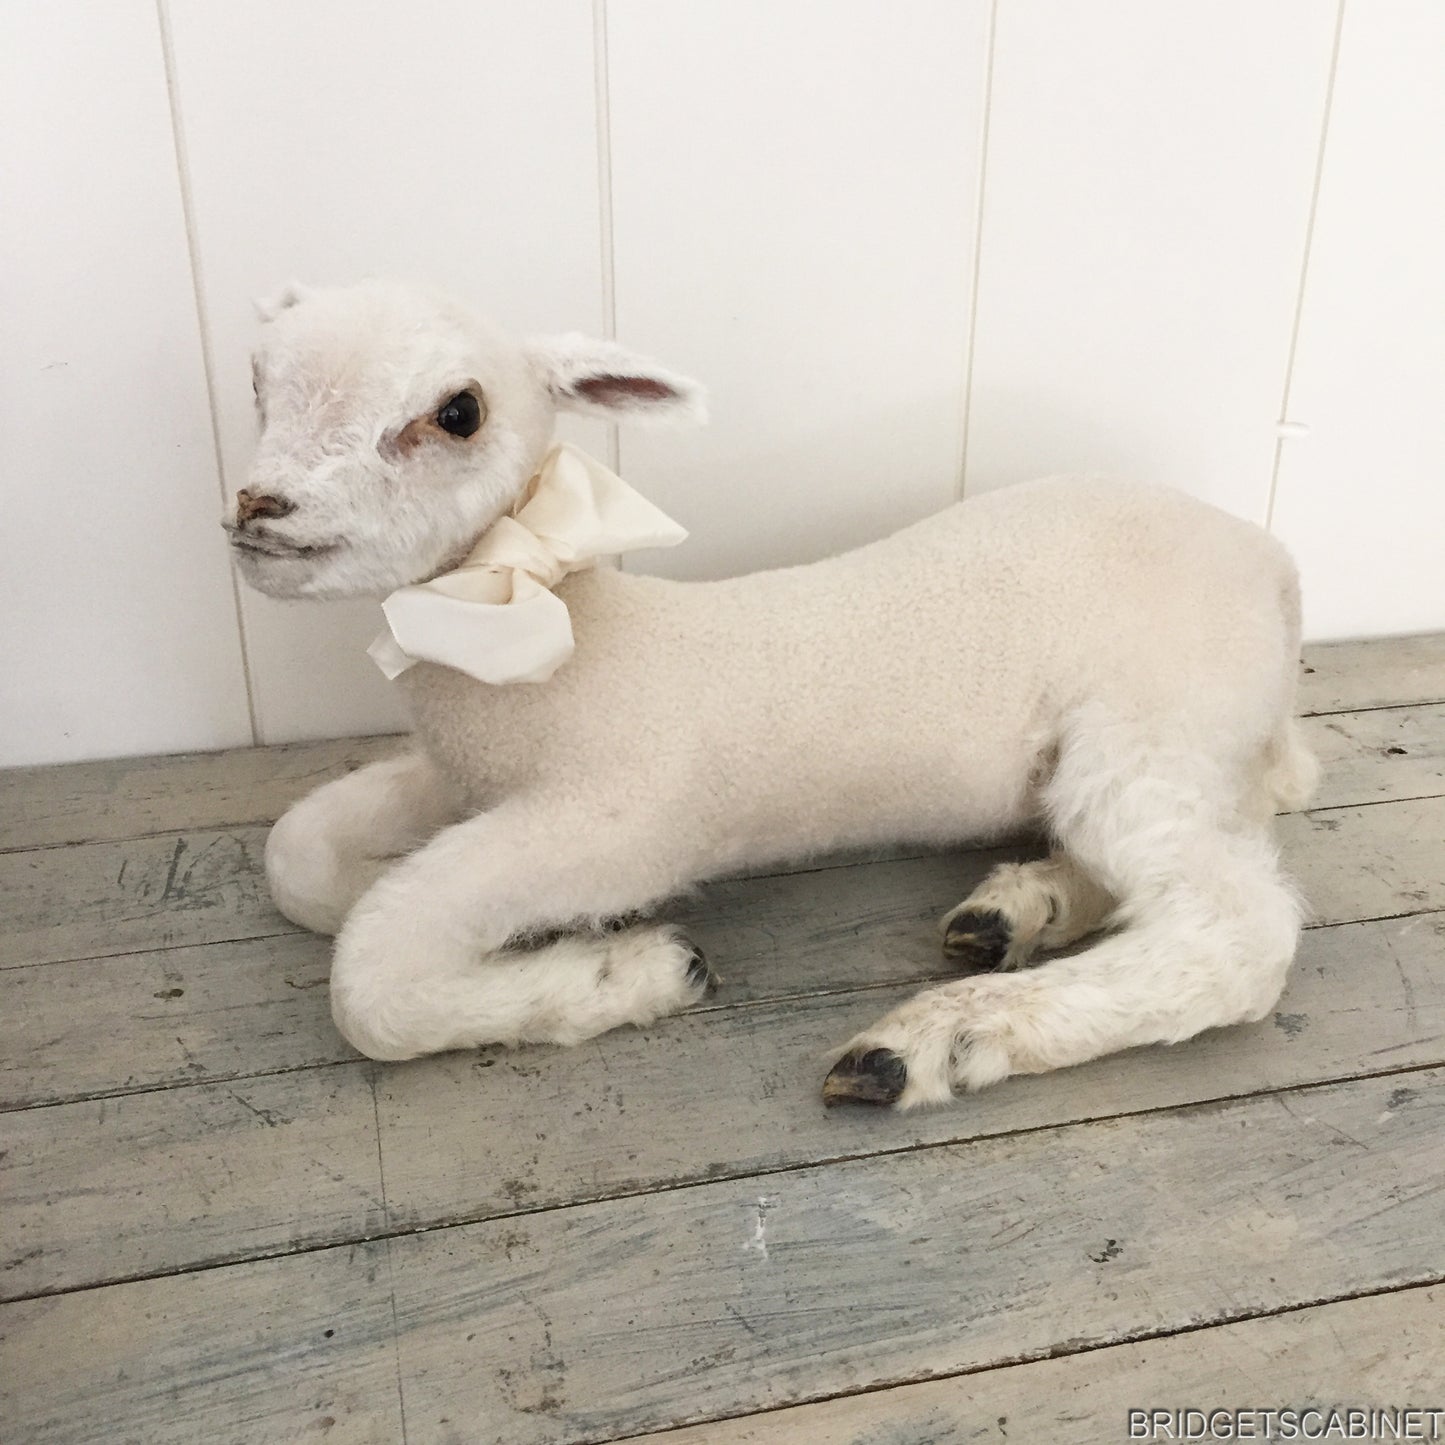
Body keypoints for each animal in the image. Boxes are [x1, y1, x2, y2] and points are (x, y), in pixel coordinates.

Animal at [231, 277, 1317, 1111]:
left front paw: (629, 971)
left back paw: (931, 1044)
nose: (257, 507)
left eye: (459, 410)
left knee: (1238, 926)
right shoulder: (458, 779)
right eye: (256, 381)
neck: (544, 646)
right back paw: (1020, 908)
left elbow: (369, 977)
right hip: (1179, 747)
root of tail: (1267, 559)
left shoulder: (619, 824)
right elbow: (298, 855)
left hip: (1150, 722)